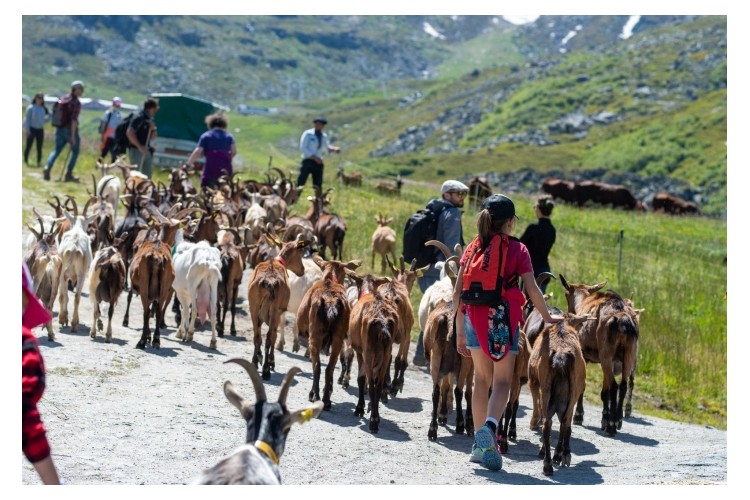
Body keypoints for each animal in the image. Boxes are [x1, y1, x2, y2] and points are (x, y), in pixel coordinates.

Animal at [248, 234, 310, 378]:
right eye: (300, 252)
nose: (302, 270)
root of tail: (269, 281)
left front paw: (259, 357)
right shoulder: (280, 310)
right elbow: (275, 335)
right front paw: (271, 362)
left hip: (254, 306)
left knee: (257, 335)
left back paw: (255, 362)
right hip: (274, 310)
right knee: (270, 336)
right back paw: (266, 369)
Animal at [532, 314, 592, 474]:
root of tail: (560, 353)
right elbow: (568, 425)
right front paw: (565, 453)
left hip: (546, 389)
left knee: (548, 423)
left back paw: (548, 464)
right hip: (571, 393)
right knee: (563, 422)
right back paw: (557, 456)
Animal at [560, 276, 644, 436]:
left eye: (566, 294)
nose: (569, 314)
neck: (584, 301)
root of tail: (623, 320)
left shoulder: (584, 354)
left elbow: (584, 385)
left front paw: (579, 416)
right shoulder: (607, 362)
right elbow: (604, 391)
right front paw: (604, 418)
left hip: (607, 354)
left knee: (615, 386)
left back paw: (612, 425)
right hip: (627, 355)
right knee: (622, 386)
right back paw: (618, 421)